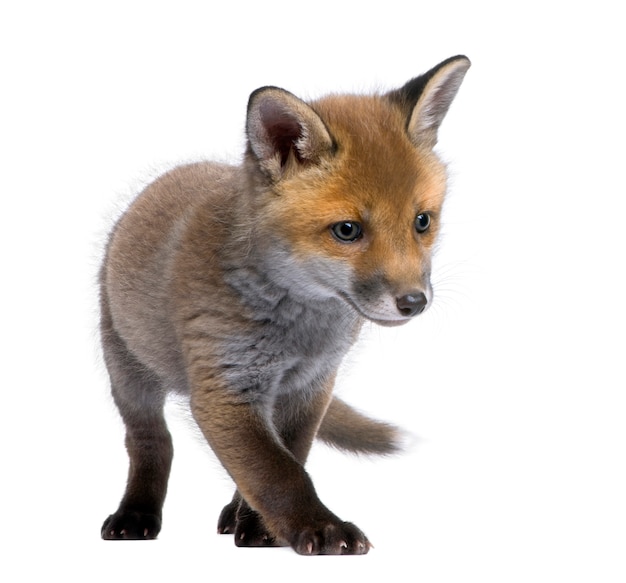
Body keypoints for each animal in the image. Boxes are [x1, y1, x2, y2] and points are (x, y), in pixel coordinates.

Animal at [98, 54, 468, 556]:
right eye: (347, 230)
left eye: (422, 222)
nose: (414, 302)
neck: (300, 330)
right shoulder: (223, 386)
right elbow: (278, 473)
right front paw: (321, 528)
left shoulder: (310, 386)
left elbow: (286, 458)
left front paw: (259, 528)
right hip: (128, 371)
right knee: (152, 443)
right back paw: (136, 515)